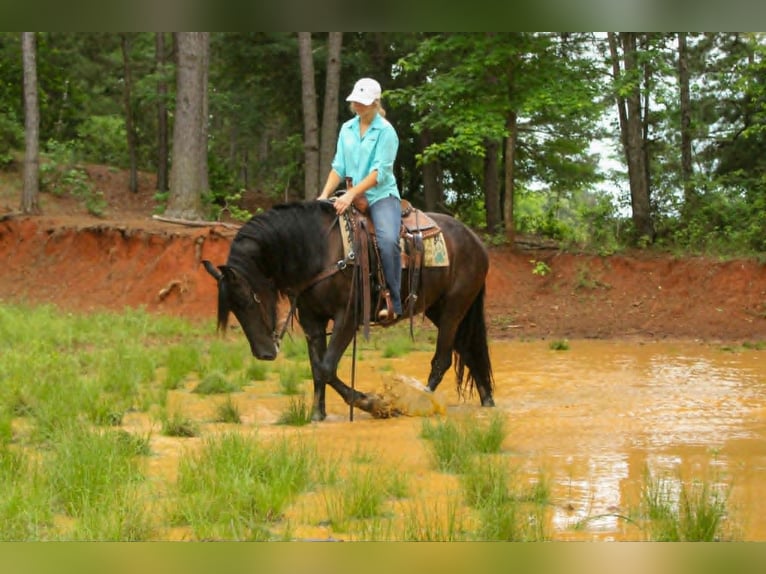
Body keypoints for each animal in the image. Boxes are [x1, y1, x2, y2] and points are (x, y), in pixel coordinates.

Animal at [203, 199, 495, 421]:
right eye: (233, 309)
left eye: (249, 299)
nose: (263, 353)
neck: (318, 249)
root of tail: (476, 241)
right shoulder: (312, 321)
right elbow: (316, 367)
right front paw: (317, 414)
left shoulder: (347, 318)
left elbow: (326, 368)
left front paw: (373, 403)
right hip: (439, 307)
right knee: (467, 350)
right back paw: (487, 400)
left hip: (454, 307)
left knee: (442, 359)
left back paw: (419, 402)